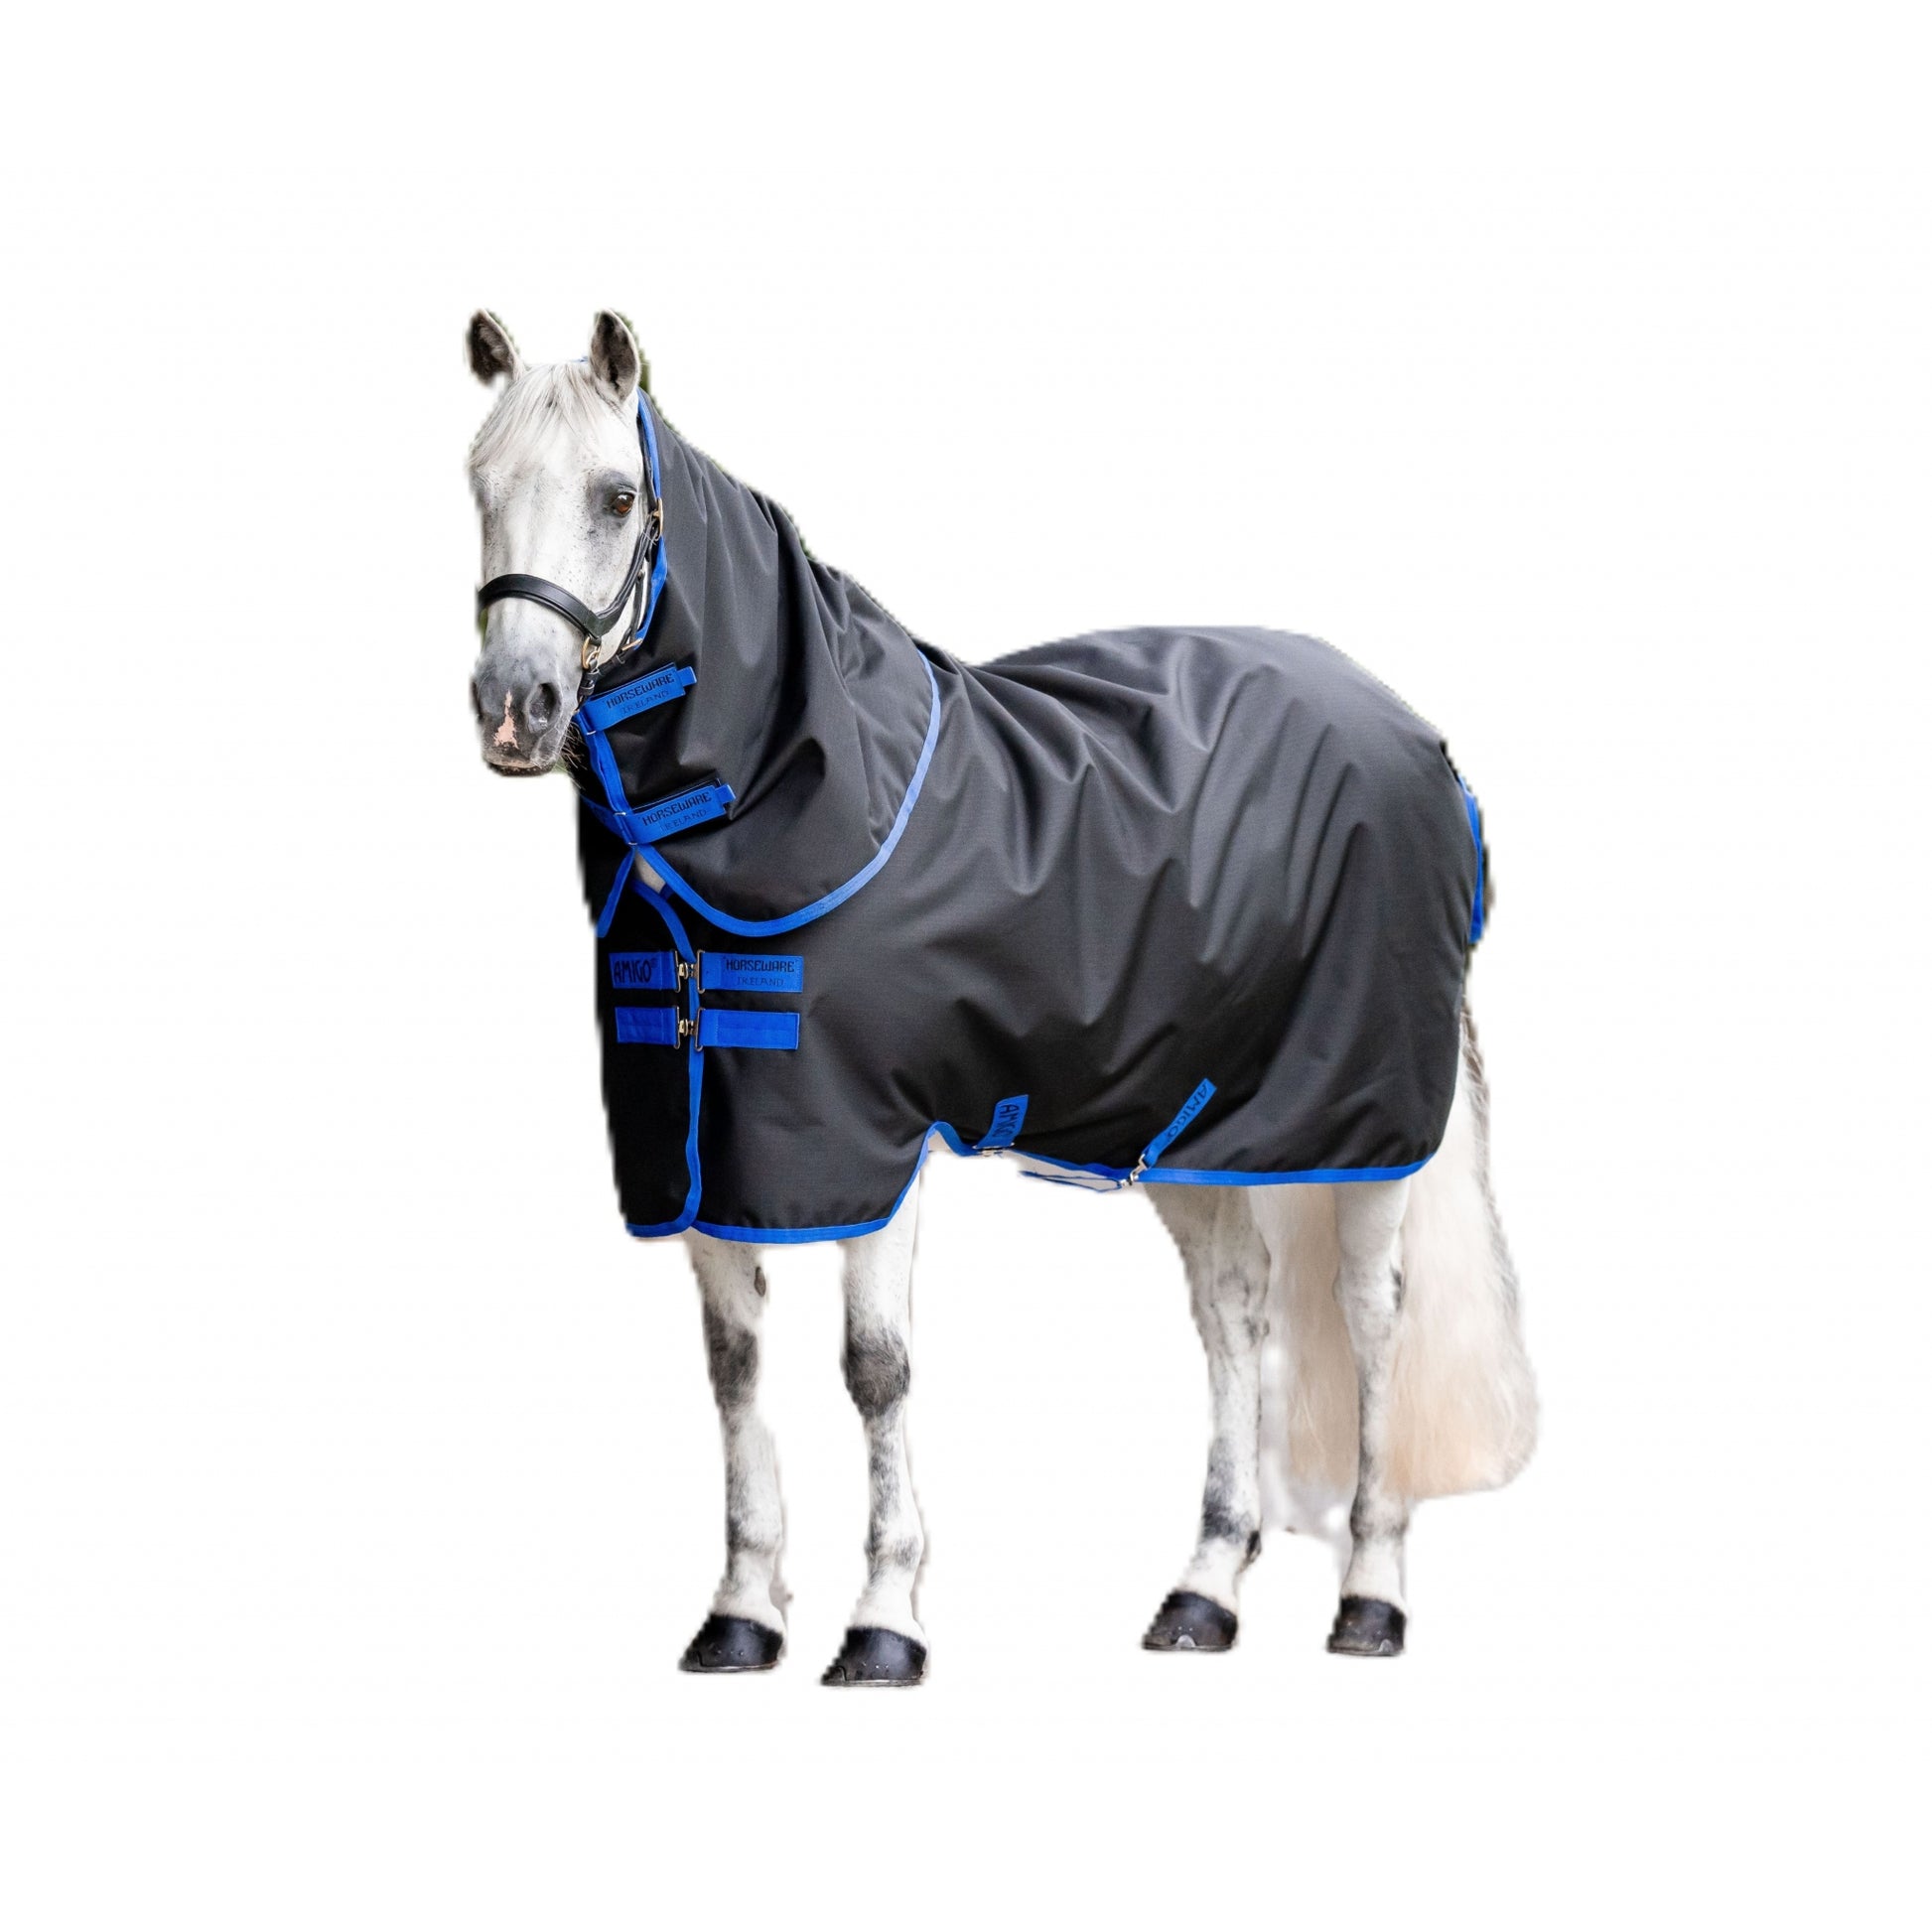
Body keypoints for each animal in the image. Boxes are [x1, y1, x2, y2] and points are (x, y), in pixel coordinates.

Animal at [462, 308, 1536, 1686]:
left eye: (613, 495)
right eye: (478, 485)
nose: (515, 707)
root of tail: (1423, 741)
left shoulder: (867, 1145)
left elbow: (874, 1369)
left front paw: (883, 1621)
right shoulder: (701, 1149)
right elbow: (734, 1368)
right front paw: (742, 1610)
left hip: (1369, 1119)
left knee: (1373, 1319)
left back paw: (1370, 1592)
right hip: (1191, 1122)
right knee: (1235, 1314)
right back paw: (1202, 1588)